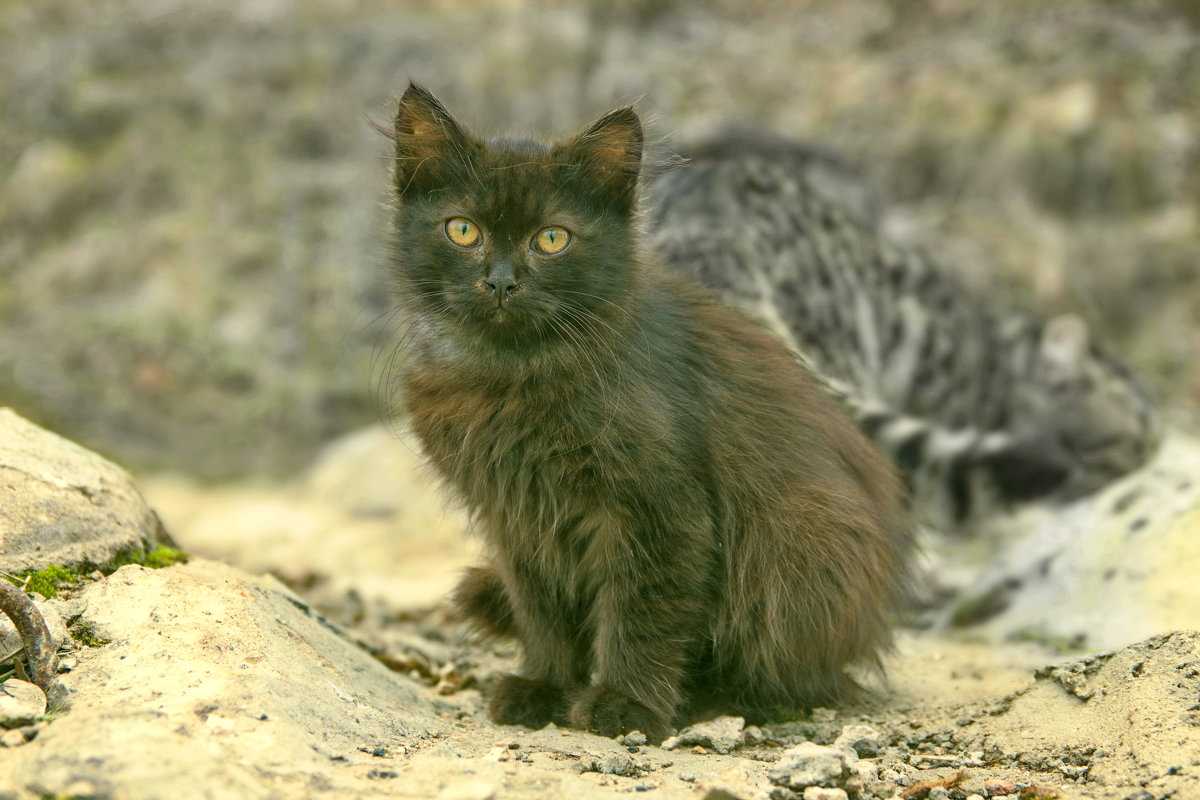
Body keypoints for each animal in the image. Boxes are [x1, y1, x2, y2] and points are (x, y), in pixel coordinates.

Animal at [384, 84, 907, 743]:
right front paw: (545, 686)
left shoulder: (659, 511)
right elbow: (542, 612)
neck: (510, 376)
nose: (501, 282)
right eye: (462, 230)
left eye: (551, 239)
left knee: (794, 675)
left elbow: (642, 610)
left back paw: (711, 698)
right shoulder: (519, 519)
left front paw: (625, 704)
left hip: (802, 537)